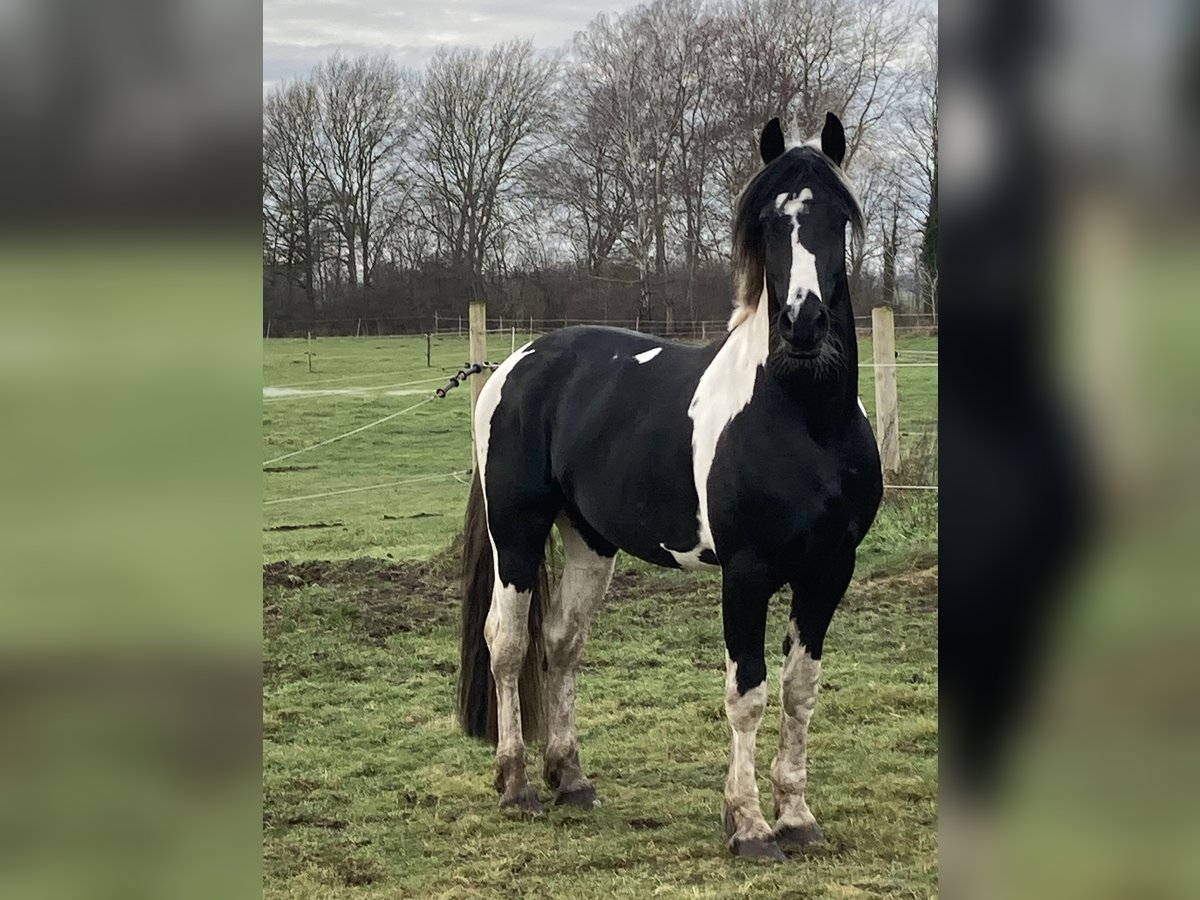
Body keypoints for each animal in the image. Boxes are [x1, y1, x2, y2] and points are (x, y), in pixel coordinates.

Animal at [456, 112, 883, 859]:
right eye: (767, 222)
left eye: (838, 218)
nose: (802, 324)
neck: (806, 422)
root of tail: (516, 362)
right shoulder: (746, 571)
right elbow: (747, 694)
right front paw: (749, 826)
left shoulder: (830, 570)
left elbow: (800, 692)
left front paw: (798, 820)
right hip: (516, 533)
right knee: (507, 645)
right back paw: (516, 786)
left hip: (589, 540)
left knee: (562, 642)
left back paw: (571, 778)